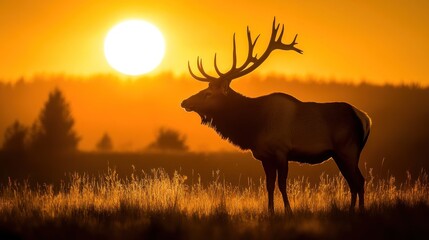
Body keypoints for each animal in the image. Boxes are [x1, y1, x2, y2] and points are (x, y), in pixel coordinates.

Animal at [180, 18, 368, 214]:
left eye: (208, 94)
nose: (184, 102)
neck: (254, 126)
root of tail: (364, 118)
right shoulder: (265, 155)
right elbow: (269, 185)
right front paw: (270, 211)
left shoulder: (281, 150)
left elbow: (282, 184)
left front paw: (288, 211)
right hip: (340, 153)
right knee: (354, 182)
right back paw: (352, 210)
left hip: (347, 148)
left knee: (359, 181)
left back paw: (359, 211)